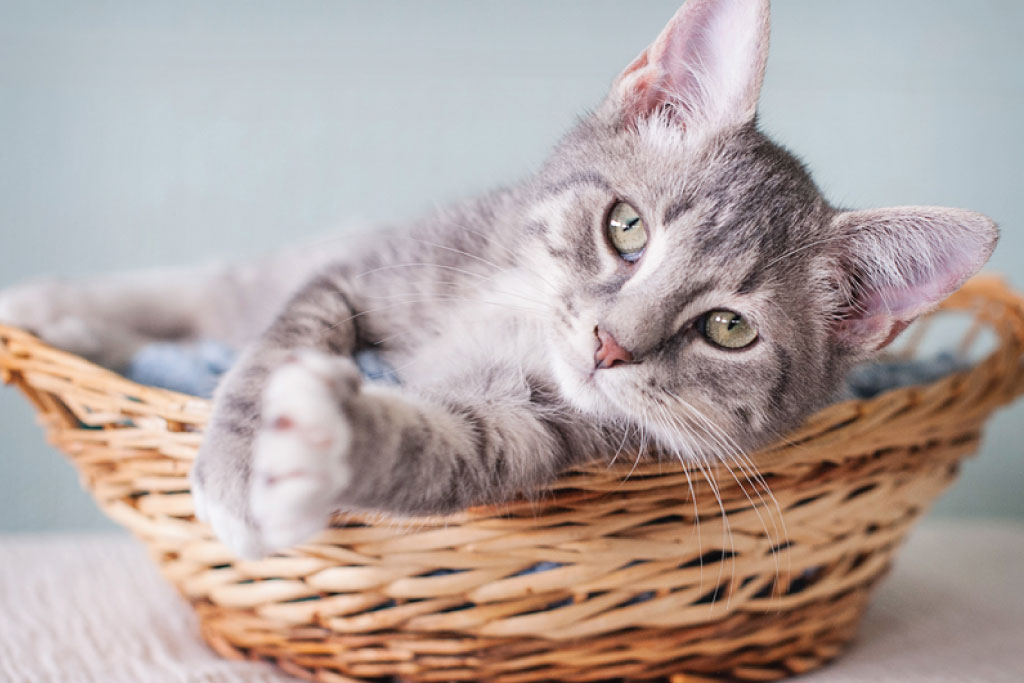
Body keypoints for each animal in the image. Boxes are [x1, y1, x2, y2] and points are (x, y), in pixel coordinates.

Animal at [0, 0, 995, 557]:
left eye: (728, 329)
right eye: (626, 227)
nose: (609, 343)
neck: (507, 322)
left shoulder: (540, 432)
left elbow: (439, 448)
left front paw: (328, 440)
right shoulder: (365, 272)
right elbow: (281, 332)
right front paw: (241, 457)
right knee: (218, 288)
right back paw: (58, 309)